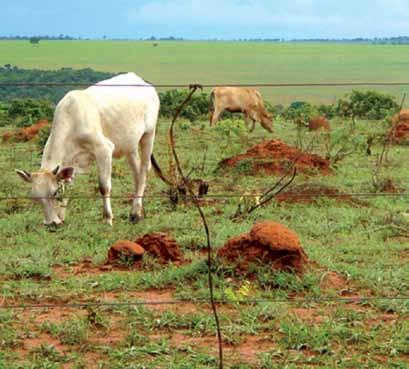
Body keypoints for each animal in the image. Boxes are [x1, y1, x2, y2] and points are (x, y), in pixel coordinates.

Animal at [15, 72, 159, 224]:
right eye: (35, 197)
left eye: (54, 193)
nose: (50, 224)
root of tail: (142, 81)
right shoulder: (70, 161)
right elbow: (67, 186)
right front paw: (62, 217)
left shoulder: (104, 149)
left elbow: (104, 186)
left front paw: (108, 219)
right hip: (129, 145)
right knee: (137, 172)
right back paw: (136, 210)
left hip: (149, 134)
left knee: (144, 170)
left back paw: (135, 213)